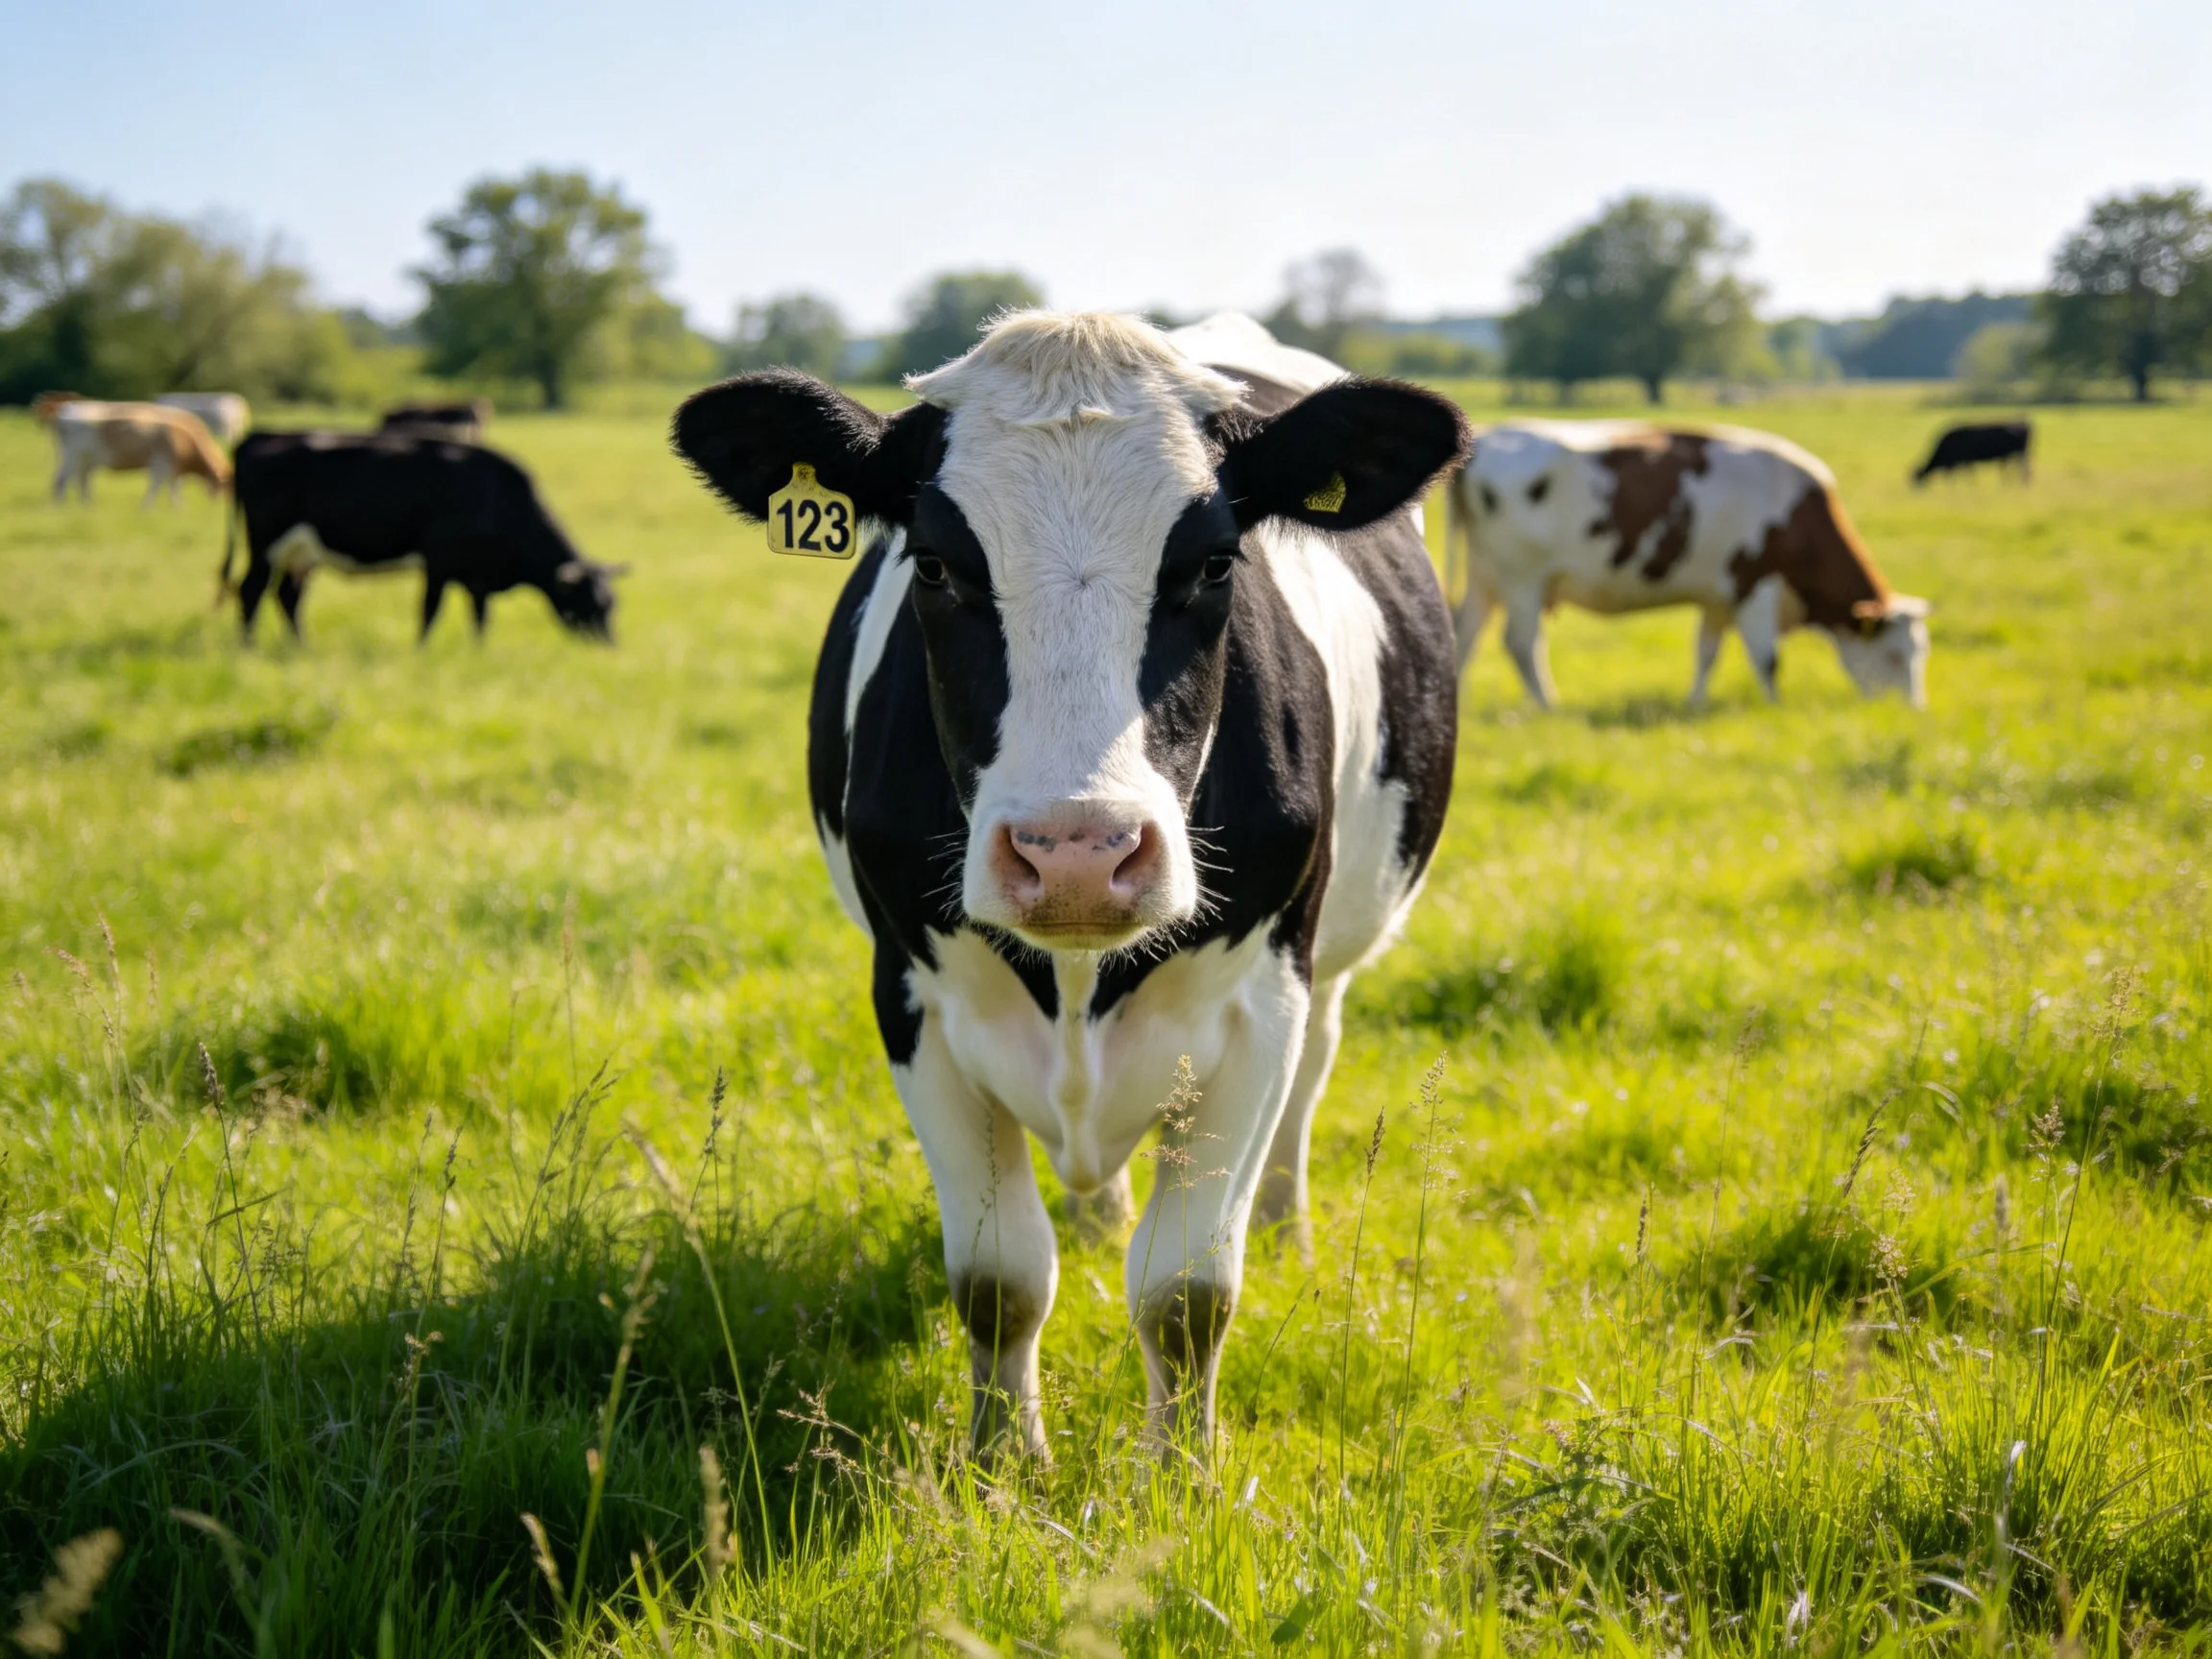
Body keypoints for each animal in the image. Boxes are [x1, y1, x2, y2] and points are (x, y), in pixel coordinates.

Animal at [49, 401, 231, 505]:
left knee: (82, 480)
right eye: (227, 485)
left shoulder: (173, 467)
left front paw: (177, 507)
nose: (220, 502)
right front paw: (147, 507)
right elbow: (157, 485)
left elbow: (174, 486)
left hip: (86, 460)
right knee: (61, 479)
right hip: (73, 456)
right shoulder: (161, 462)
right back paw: (61, 506)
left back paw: (87, 505)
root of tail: (65, 414)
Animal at [222, 431, 619, 642]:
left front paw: (478, 652)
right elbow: (430, 611)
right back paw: (248, 649)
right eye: (589, 604)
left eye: (611, 604)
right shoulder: (438, 561)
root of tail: (260, 436)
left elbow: (480, 617)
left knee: (288, 597)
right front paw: (421, 652)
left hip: (302, 554)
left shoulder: (479, 575)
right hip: (266, 545)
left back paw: (301, 647)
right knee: (250, 591)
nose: (610, 647)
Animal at [671, 310, 1467, 1458]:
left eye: (1214, 562)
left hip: (1329, 963)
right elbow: (998, 1281)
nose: (1079, 855)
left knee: (1313, 1076)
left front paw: (1184, 1474)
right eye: (937, 565)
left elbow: (1186, 1294)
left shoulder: (1261, 998)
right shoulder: (912, 998)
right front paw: (1004, 1461)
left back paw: (1290, 1231)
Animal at [1445, 421, 1930, 709]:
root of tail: (1485, 438)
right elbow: (1767, 658)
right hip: (1521, 578)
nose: (1913, 709)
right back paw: (1549, 705)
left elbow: (1707, 654)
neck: (1798, 516)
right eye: (1893, 654)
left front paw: (1695, 704)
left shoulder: (1717, 599)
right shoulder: (1755, 586)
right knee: (1522, 643)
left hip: (1486, 577)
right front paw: (1775, 708)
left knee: (1464, 636)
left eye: (1920, 652)